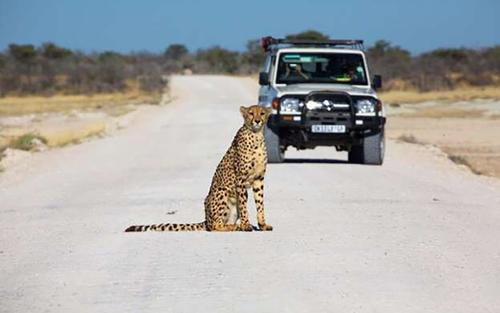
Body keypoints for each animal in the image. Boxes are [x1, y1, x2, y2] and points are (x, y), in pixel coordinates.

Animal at [125, 105, 274, 232]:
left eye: (262, 113)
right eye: (251, 113)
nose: (257, 121)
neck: (256, 135)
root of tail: (206, 219)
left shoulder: (259, 179)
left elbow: (260, 203)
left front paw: (262, 225)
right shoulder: (241, 179)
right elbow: (243, 206)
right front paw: (246, 225)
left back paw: (235, 225)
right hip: (221, 192)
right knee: (215, 226)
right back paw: (235, 227)